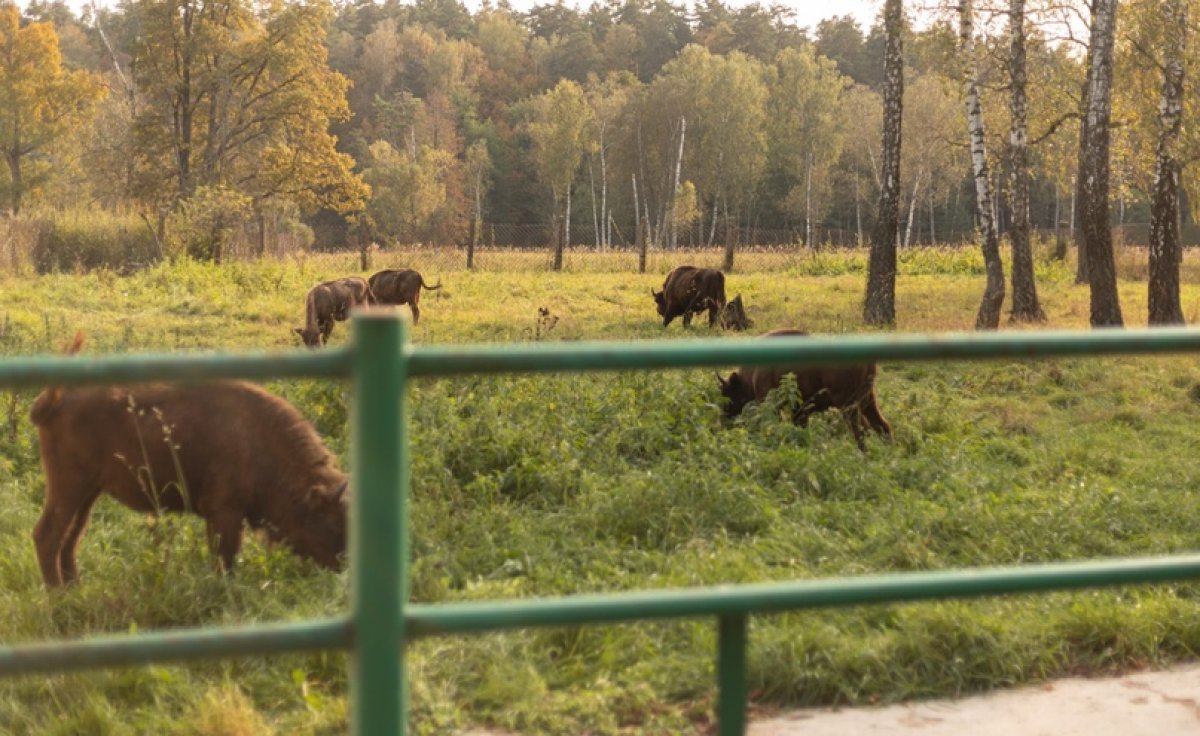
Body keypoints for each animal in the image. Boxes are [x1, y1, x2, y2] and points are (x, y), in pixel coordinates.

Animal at [31, 338, 348, 585]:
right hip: (69, 486)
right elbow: (225, 560)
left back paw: (75, 589)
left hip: (88, 491)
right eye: (332, 522)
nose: (343, 565)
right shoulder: (224, 512)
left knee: (71, 537)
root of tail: (54, 398)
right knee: (48, 536)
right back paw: (59, 598)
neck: (259, 441)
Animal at [710, 328, 892, 453]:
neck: (753, 371)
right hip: (868, 400)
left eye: (729, 393)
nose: (723, 420)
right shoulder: (799, 409)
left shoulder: (770, 403)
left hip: (848, 405)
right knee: (882, 426)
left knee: (861, 430)